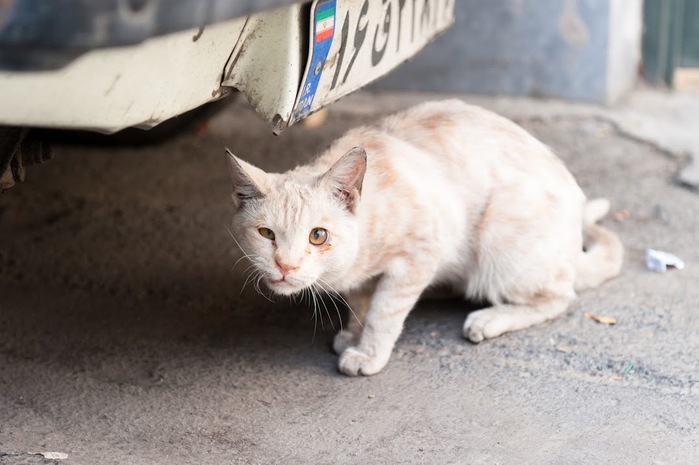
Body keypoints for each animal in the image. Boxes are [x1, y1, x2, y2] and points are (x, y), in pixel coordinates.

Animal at [226, 99, 624, 376]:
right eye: (266, 234)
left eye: (318, 236)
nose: (286, 265)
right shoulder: (368, 277)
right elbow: (361, 302)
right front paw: (353, 334)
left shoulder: (420, 253)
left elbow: (384, 312)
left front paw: (367, 352)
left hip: (500, 238)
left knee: (560, 296)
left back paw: (488, 319)